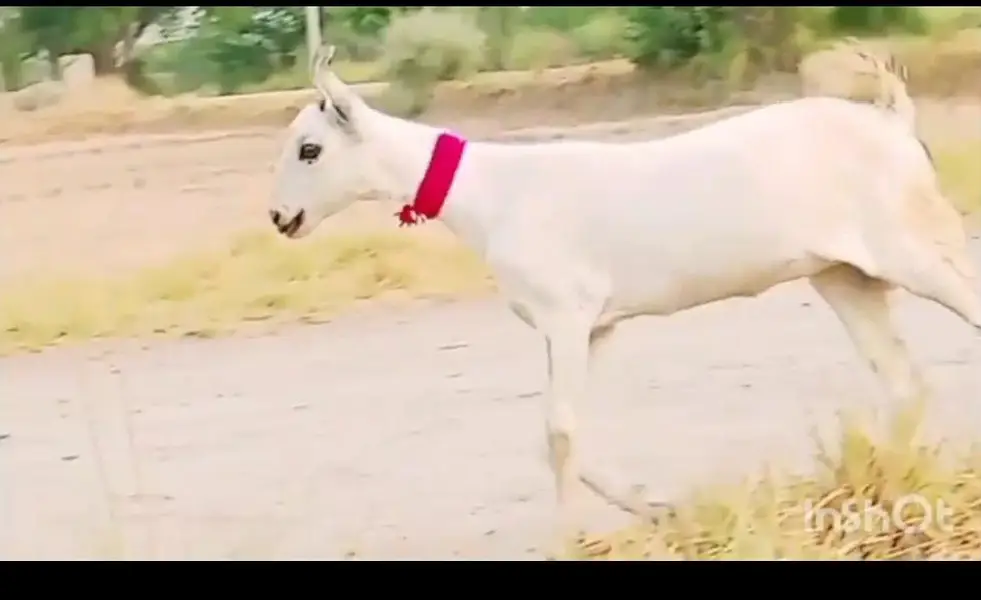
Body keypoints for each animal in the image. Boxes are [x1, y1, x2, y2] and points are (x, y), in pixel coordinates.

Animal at [269, 44, 980, 557]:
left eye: (310, 148)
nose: (280, 218)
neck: (497, 194)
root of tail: (890, 117)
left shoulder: (565, 315)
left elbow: (558, 433)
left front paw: (568, 541)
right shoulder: (596, 327)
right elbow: (570, 434)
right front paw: (660, 506)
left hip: (919, 249)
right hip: (843, 275)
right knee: (901, 381)